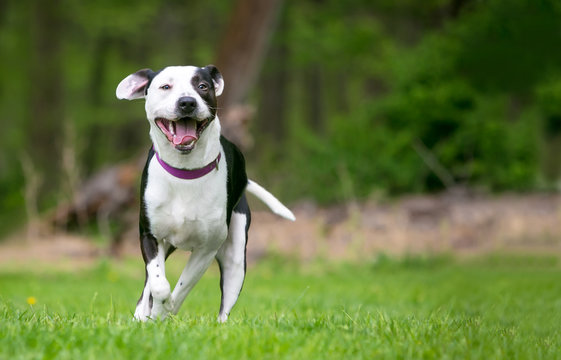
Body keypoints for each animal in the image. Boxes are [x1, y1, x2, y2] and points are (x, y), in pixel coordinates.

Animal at [116, 65, 296, 324]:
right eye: (165, 86)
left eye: (202, 86)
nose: (187, 102)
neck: (184, 173)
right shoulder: (149, 236)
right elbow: (158, 284)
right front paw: (152, 312)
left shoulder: (206, 249)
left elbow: (181, 288)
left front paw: (163, 312)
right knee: (150, 284)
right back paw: (142, 314)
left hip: (236, 259)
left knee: (225, 305)